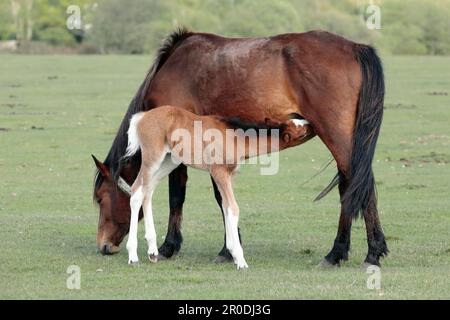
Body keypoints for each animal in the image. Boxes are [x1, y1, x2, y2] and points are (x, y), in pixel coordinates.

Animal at [125, 106, 312, 268]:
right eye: (298, 127)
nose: (309, 122)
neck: (236, 137)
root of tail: (142, 117)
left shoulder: (229, 175)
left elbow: (226, 206)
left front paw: (232, 253)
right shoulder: (218, 172)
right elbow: (233, 208)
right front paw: (240, 260)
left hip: (169, 161)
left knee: (148, 190)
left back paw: (152, 252)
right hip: (152, 159)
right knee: (136, 191)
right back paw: (133, 256)